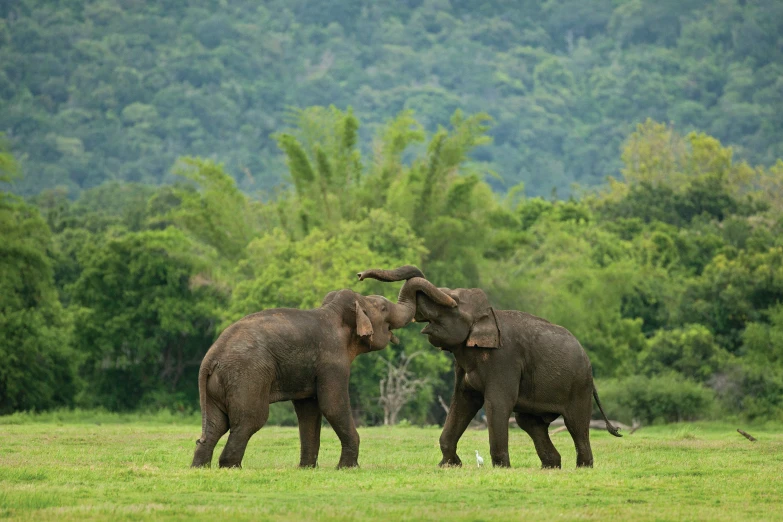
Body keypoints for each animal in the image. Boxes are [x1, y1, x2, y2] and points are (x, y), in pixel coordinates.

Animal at [189, 276, 454, 468]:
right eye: (382, 307)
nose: (452, 302)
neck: (334, 311)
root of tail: (210, 358)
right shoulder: (332, 360)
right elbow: (333, 405)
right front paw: (348, 468)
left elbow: (309, 411)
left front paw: (307, 468)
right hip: (247, 376)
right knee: (249, 420)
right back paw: (230, 467)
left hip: (219, 384)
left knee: (216, 424)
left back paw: (200, 467)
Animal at [358, 264, 620, 468]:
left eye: (453, 304)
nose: (359, 275)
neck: (489, 314)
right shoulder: (463, 364)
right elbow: (463, 402)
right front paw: (449, 465)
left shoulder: (504, 360)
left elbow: (496, 404)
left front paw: (502, 468)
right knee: (531, 423)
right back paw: (551, 466)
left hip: (579, 386)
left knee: (575, 425)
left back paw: (583, 467)